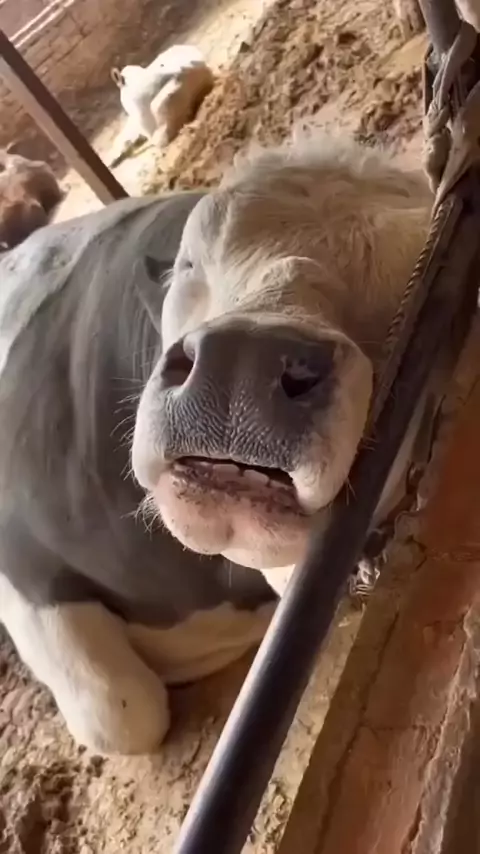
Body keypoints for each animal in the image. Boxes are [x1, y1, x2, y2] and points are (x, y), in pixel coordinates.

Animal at [0, 131, 436, 756]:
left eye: (415, 279)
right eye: (190, 263)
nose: (242, 363)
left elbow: (125, 709)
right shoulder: (19, 553)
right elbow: (121, 711)